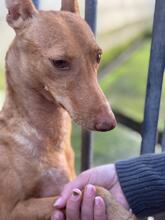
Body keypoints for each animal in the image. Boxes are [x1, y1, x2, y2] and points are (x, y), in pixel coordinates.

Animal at [0, 0, 135, 219]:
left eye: (98, 56)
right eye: (59, 62)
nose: (109, 123)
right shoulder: (10, 210)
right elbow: (97, 189)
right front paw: (121, 213)